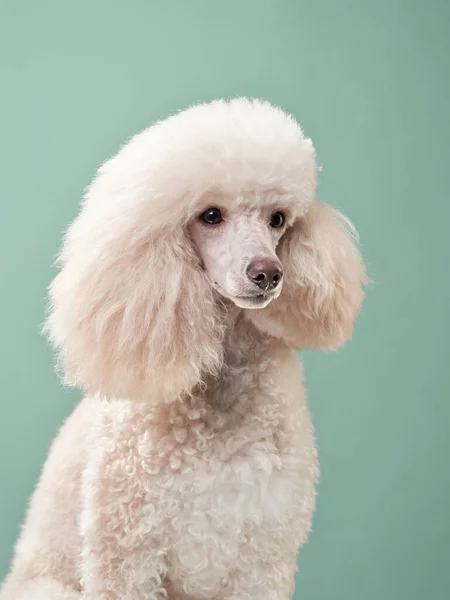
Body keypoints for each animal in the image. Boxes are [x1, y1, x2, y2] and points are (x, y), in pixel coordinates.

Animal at [0, 99, 366, 600]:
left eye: (277, 219)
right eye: (210, 216)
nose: (268, 273)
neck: (224, 384)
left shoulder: (263, 556)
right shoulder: (127, 552)